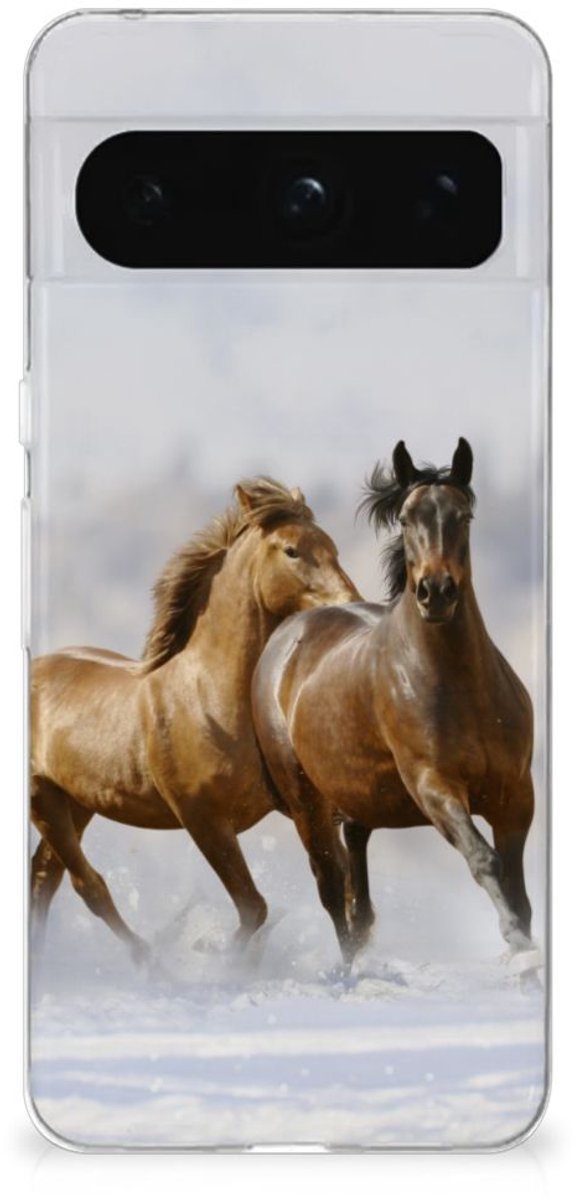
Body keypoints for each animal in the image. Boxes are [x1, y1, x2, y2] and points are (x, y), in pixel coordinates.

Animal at [31, 477, 359, 960]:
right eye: (292, 550)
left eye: (332, 545)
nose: (351, 605)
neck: (211, 700)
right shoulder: (202, 819)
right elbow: (254, 908)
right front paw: (218, 959)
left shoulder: (304, 806)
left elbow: (335, 884)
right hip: (44, 799)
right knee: (86, 885)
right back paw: (150, 960)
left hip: (76, 802)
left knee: (44, 878)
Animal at [252, 440, 535, 967]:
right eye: (405, 518)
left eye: (464, 516)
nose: (436, 592)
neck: (461, 688)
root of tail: (286, 636)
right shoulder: (434, 787)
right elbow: (484, 860)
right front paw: (518, 946)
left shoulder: (516, 795)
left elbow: (517, 887)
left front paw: (525, 950)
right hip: (306, 803)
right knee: (331, 889)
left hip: (355, 799)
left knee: (357, 891)